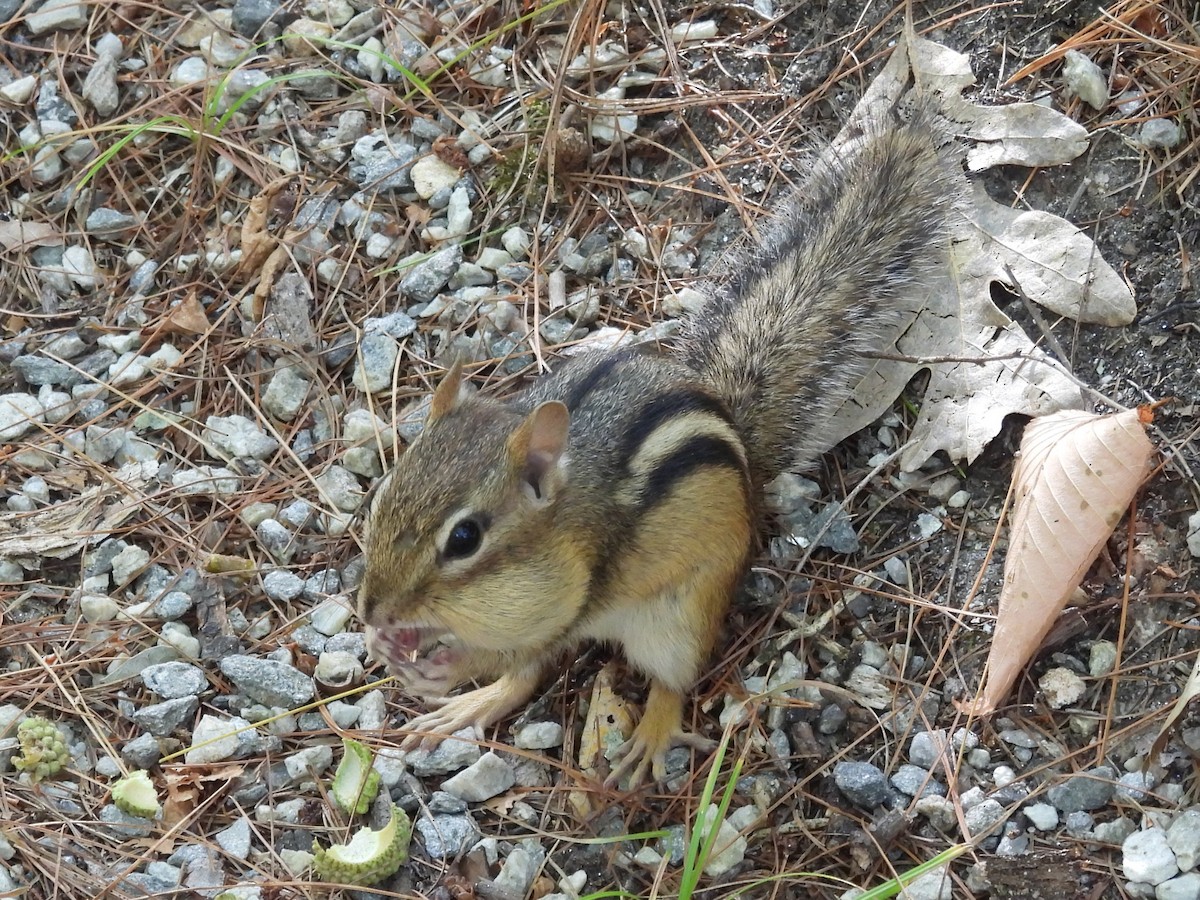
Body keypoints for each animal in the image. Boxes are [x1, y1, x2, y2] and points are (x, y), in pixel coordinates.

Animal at [357, 107, 952, 787]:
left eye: (464, 539)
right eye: (379, 499)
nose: (372, 614)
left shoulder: (567, 601)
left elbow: (520, 651)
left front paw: (442, 665)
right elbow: (519, 665)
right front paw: (391, 649)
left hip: (680, 615)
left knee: (672, 678)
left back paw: (650, 736)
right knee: (522, 683)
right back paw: (467, 709)